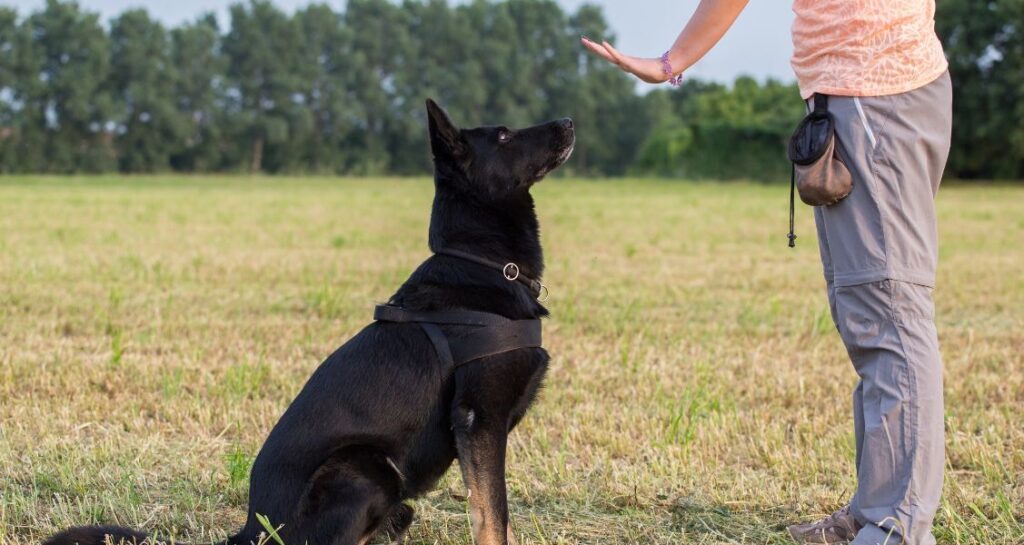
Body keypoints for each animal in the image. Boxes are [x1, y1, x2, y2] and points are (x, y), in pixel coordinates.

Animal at [46, 100, 577, 545]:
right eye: (504, 135)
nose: (569, 121)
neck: (482, 262)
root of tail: (249, 531)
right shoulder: (478, 420)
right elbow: (493, 516)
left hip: (395, 498)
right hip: (367, 468)